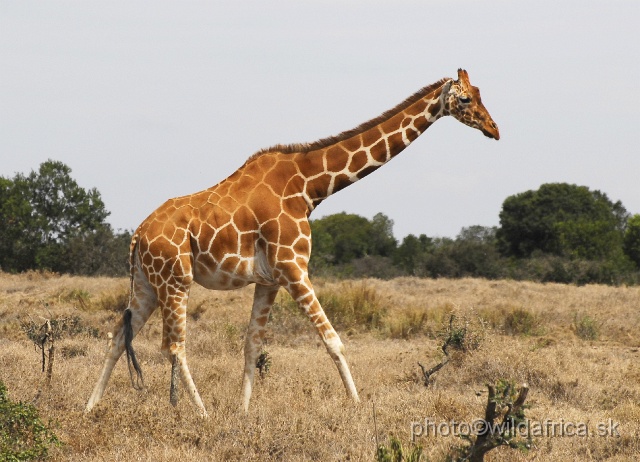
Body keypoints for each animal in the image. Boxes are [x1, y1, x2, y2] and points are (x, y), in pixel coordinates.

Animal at [85, 69, 500, 418]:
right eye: (465, 100)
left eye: (481, 94)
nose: (494, 129)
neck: (309, 187)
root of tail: (138, 234)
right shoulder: (294, 267)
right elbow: (333, 341)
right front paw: (358, 406)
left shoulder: (269, 280)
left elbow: (252, 345)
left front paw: (243, 412)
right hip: (175, 280)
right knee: (173, 346)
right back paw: (201, 413)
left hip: (147, 284)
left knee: (118, 336)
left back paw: (90, 407)